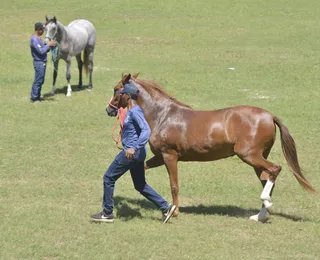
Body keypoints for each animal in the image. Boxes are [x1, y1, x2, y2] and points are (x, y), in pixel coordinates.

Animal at [105, 73, 316, 221]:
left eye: (116, 89)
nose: (109, 109)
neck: (162, 116)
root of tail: (269, 115)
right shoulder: (159, 157)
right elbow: (143, 168)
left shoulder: (169, 156)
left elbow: (174, 186)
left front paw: (174, 212)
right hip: (257, 158)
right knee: (267, 178)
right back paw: (261, 214)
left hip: (249, 155)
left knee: (274, 169)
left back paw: (266, 205)